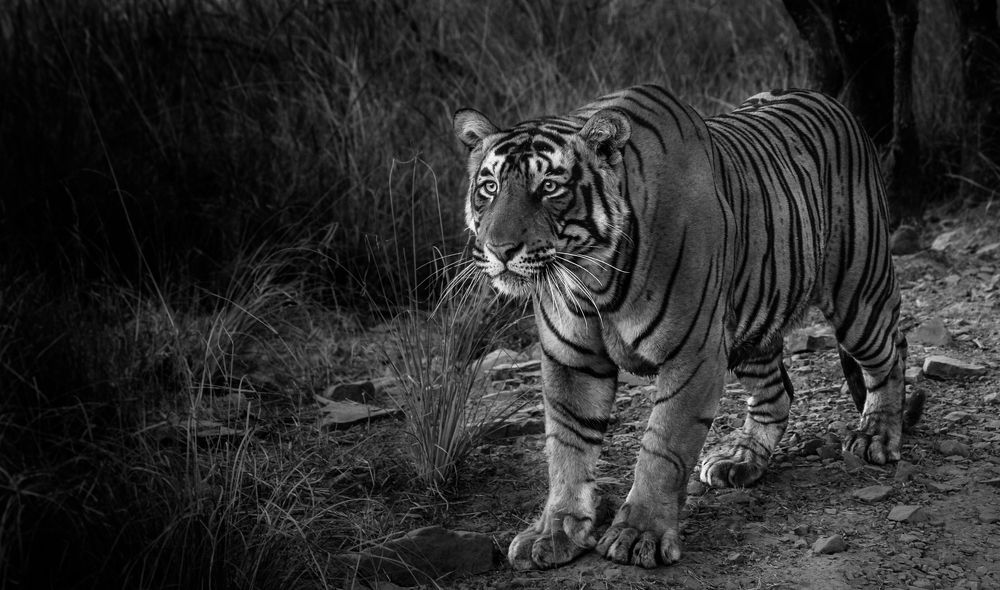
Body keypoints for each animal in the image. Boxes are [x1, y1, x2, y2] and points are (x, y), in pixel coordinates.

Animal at [451, 84, 924, 570]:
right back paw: (742, 459)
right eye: (489, 187)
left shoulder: (693, 354)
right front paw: (554, 531)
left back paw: (876, 436)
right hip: (752, 321)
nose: (500, 249)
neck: (592, 278)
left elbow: (663, 447)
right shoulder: (571, 360)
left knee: (891, 352)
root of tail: (828, 98)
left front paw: (640, 533)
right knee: (777, 391)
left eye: (549, 187)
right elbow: (567, 447)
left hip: (858, 293)